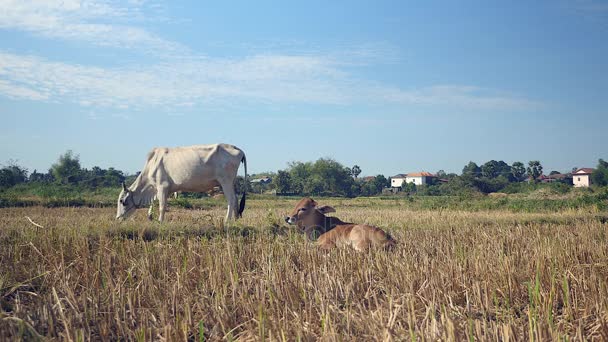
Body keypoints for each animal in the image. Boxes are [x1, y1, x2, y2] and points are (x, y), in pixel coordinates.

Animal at [114, 144, 247, 222]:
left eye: (121, 201)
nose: (117, 218)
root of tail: (238, 149)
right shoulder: (164, 190)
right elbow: (155, 203)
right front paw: (150, 216)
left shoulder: (162, 186)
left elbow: (162, 206)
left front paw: (160, 221)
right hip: (231, 182)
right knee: (235, 198)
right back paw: (235, 220)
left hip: (225, 181)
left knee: (231, 200)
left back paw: (227, 221)